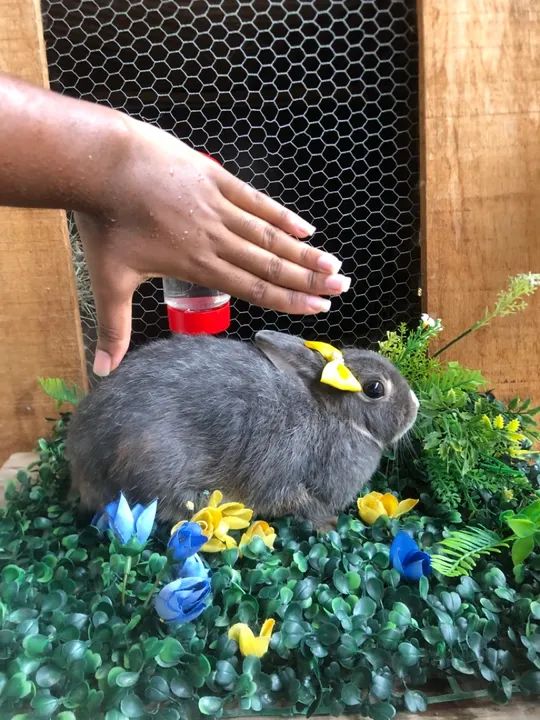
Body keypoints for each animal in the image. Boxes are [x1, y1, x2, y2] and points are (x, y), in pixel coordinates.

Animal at [65, 330, 419, 527]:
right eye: (375, 389)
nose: (414, 407)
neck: (334, 415)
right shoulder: (287, 478)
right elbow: (301, 503)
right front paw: (328, 524)